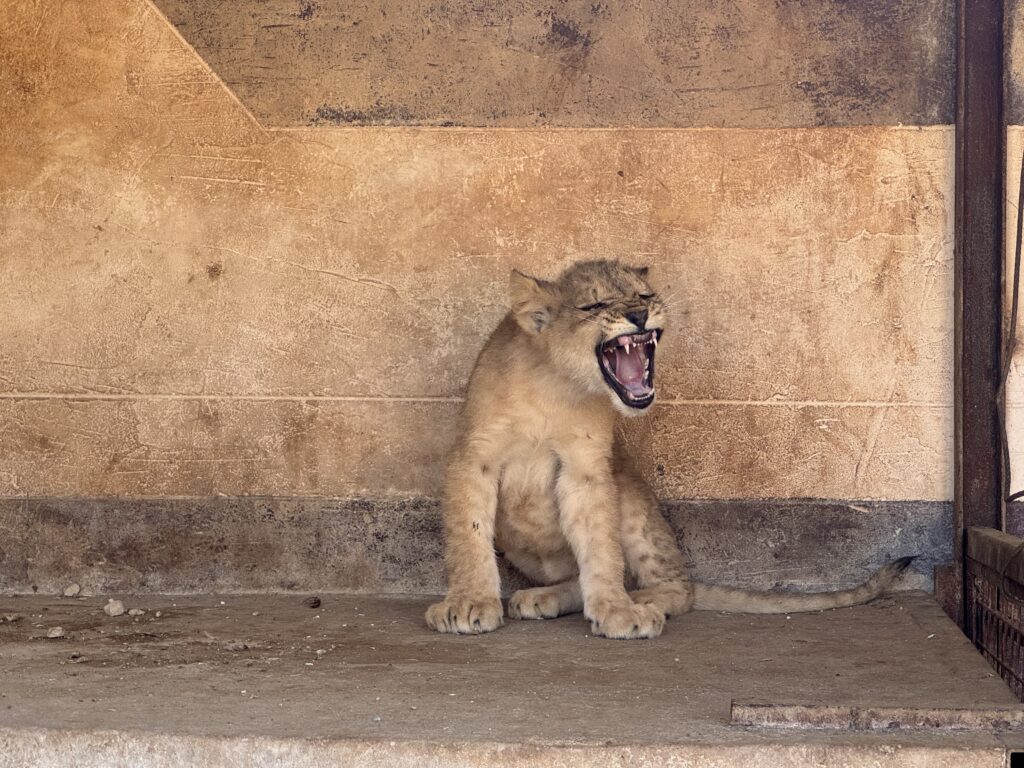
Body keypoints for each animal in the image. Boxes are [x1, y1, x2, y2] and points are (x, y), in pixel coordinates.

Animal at [425, 260, 914, 639]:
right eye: (594, 305)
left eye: (643, 294)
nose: (641, 313)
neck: (556, 385)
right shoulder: (472, 458)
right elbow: (468, 537)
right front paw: (469, 604)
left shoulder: (589, 470)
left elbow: (600, 547)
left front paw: (616, 610)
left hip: (629, 491)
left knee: (678, 587)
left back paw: (635, 600)